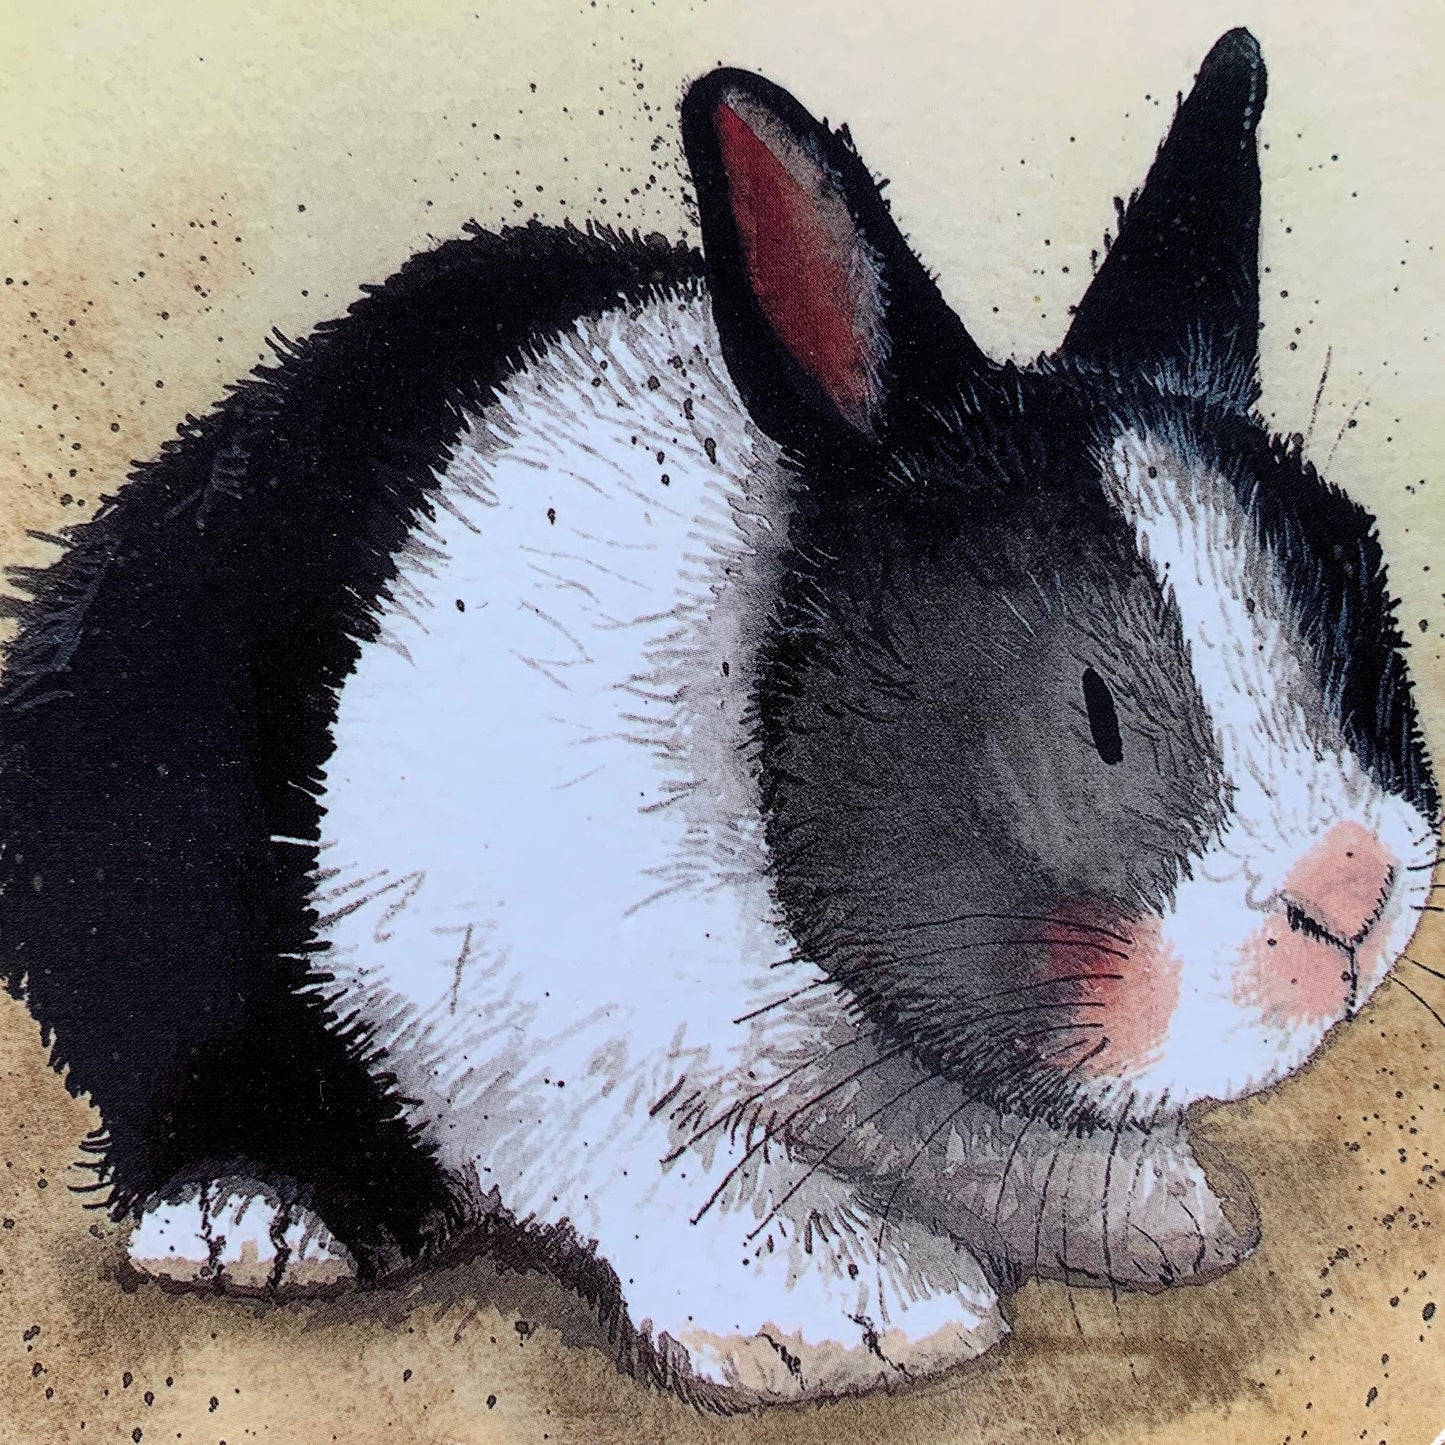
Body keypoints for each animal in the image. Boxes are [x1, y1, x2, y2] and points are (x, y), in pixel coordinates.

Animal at [0, 25, 1436, 1404]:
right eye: (1093, 711)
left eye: (1360, 602)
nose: (1350, 894)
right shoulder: (523, 1021)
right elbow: (690, 1166)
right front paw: (859, 1320)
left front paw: (1157, 1216)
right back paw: (253, 1221)